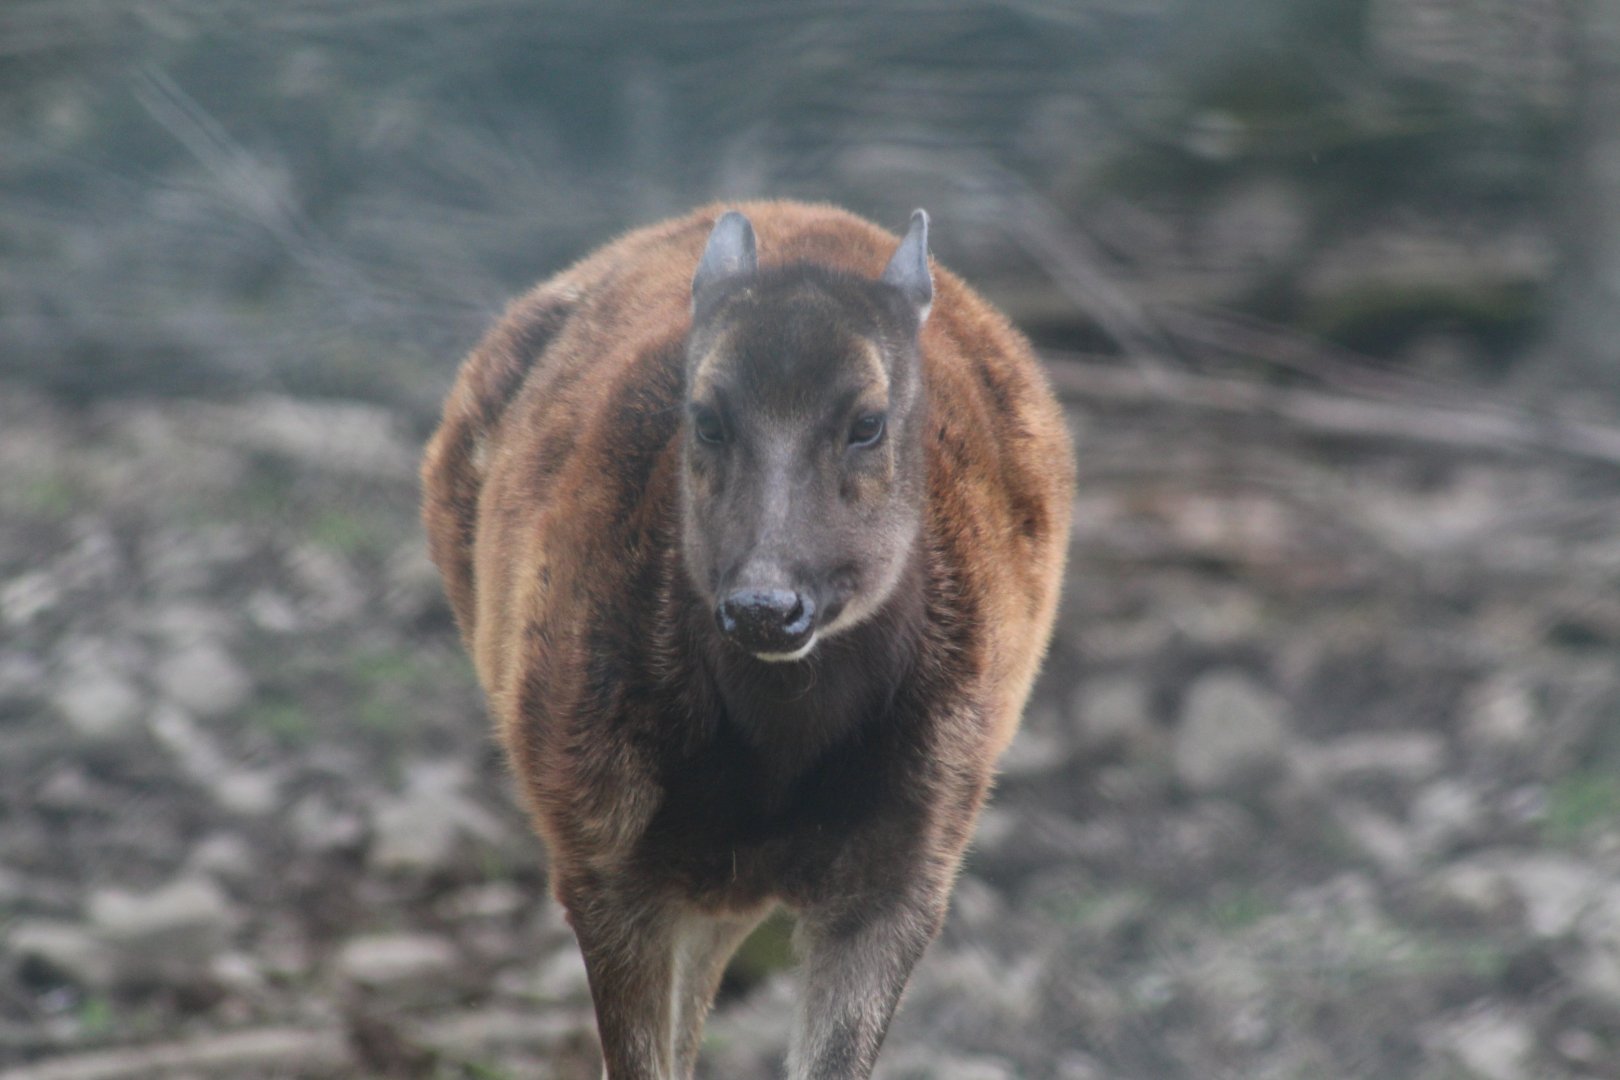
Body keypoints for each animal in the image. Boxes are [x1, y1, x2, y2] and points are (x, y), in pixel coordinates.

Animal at [421, 200, 1074, 1079]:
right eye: (704, 415)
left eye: (868, 421)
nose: (766, 606)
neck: (777, 754)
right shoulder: (595, 845)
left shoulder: (914, 862)